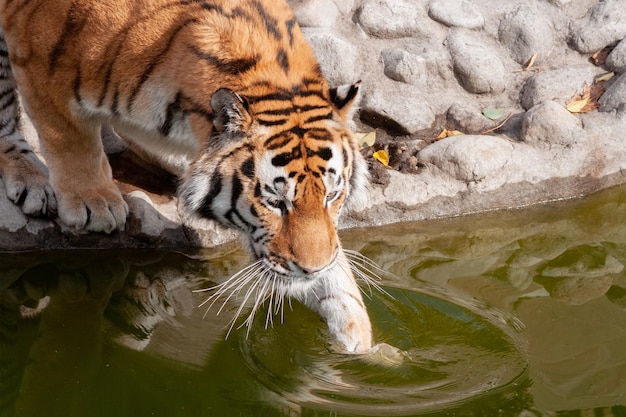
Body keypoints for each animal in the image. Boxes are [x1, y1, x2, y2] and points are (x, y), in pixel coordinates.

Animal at [0, 0, 370, 352]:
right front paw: (94, 204)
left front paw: (358, 338)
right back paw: (31, 177)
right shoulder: (38, 54)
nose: (313, 269)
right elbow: (69, 137)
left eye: (331, 196)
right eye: (275, 203)